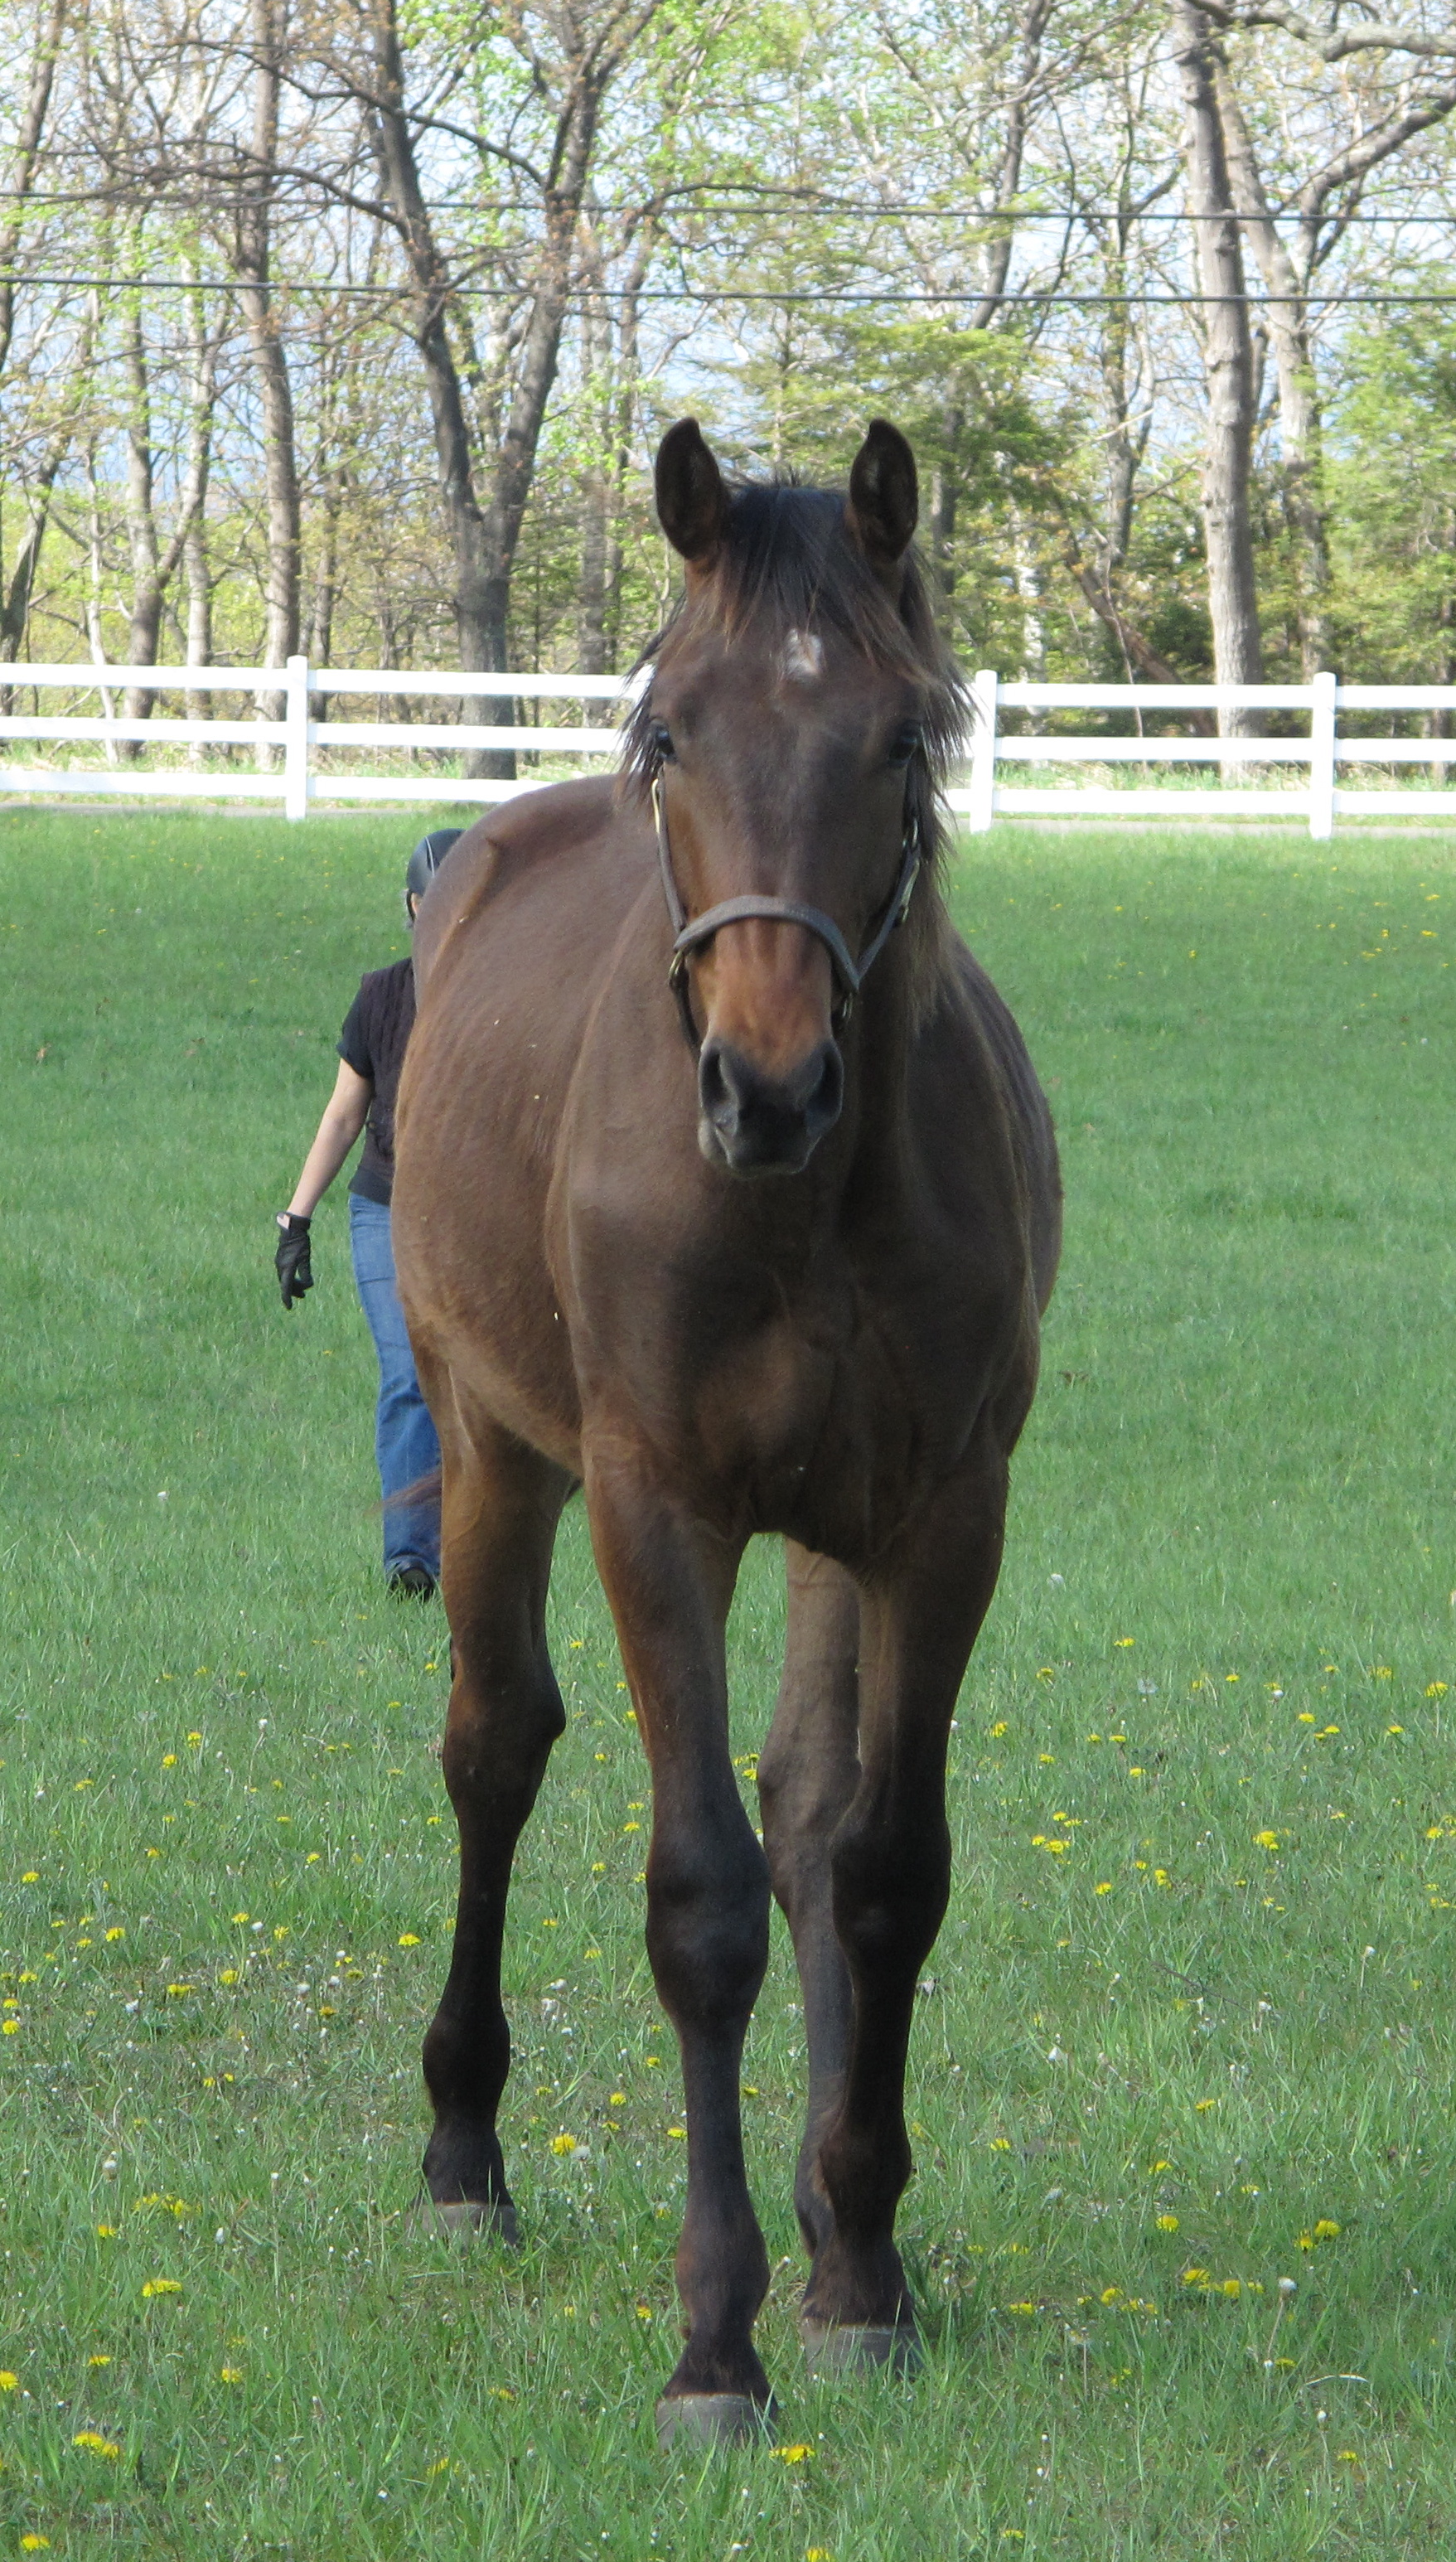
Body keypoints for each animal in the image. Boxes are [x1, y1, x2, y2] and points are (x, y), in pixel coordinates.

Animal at [392, 414, 1061, 2439]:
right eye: (668, 733)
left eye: (903, 738)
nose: (765, 1085)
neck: (801, 1208)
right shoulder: (651, 1504)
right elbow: (700, 1903)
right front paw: (713, 2338)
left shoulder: (935, 1516)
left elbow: (877, 1871)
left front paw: (858, 2272)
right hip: (494, 1453)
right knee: (493, 1749)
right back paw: (464, 2153)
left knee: (811, 1817)